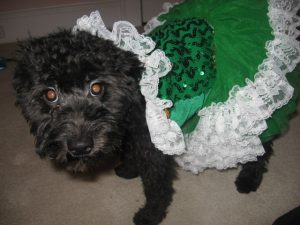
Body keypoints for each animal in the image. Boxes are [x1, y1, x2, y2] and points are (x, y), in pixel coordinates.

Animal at [13, 29, 272, 225]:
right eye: (49, 94)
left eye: (96, 88)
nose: (80, 146)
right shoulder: (132, 136)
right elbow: (130, 154)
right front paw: (129, 169)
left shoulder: (154, 151)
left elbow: (156, 188)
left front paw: (150, 216)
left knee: (262, 148)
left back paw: (249, 179)